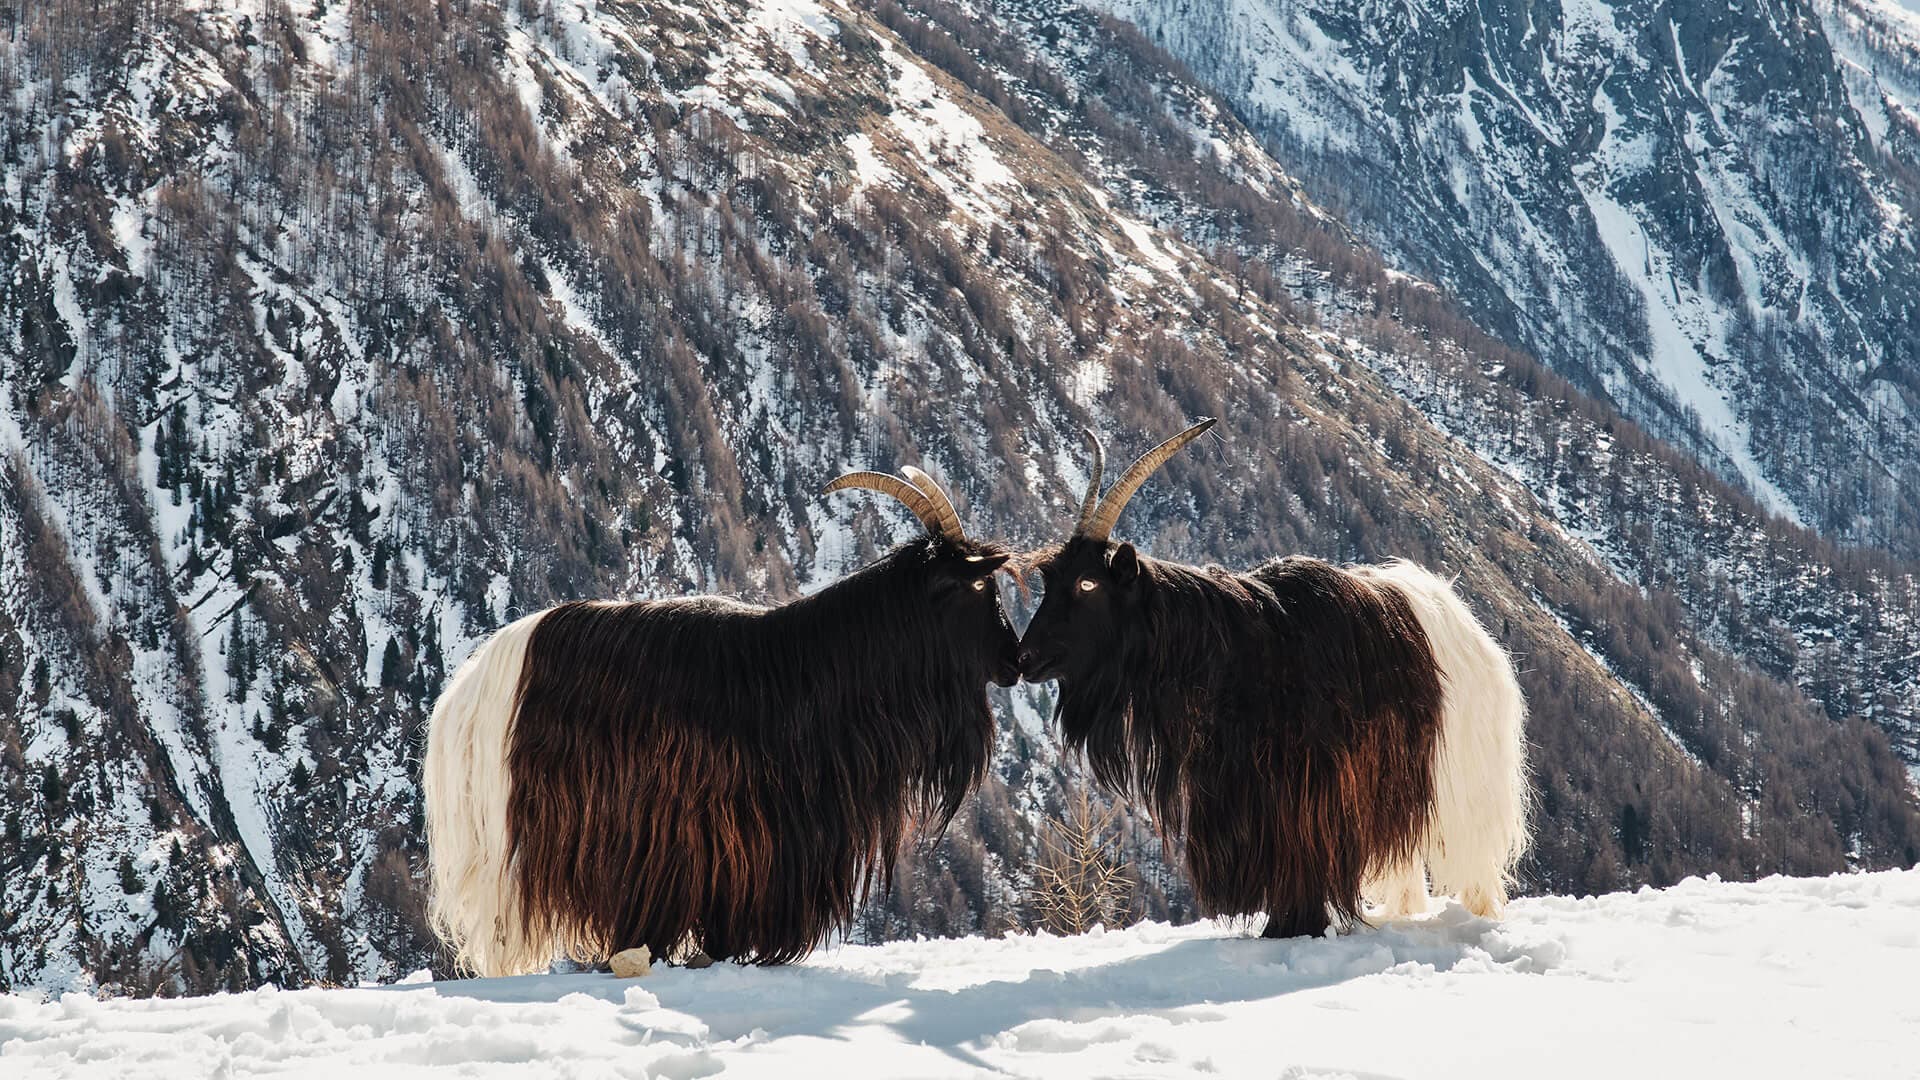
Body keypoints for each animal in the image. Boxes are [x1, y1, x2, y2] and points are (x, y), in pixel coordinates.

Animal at [1017, 420, 1529, 937]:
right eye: (1049, 579)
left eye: (1087, 583)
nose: (1024, 657)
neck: (1231, 649)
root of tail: (1465, 621)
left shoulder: (1308, 791)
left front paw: (1296, 925)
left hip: (1461, 775)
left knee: (1476, 858)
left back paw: (1480, 915)